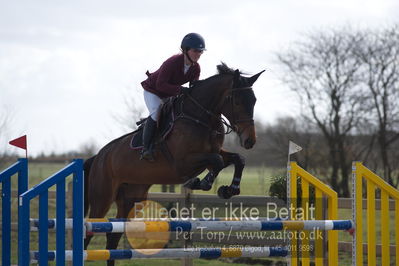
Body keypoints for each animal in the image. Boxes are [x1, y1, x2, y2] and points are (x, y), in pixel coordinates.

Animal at [84, 63, 264, 264]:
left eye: (254, 101)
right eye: (238, 102)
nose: (250, 141)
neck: (200, 116)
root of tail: (98, 156)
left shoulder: (214, 153)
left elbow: (238, 159)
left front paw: (229, 189)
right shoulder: (183, 162)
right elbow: (216, 162)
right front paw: (200, 182)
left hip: (132, 197)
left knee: (113, 236)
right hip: (102, 198)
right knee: (89, 232)